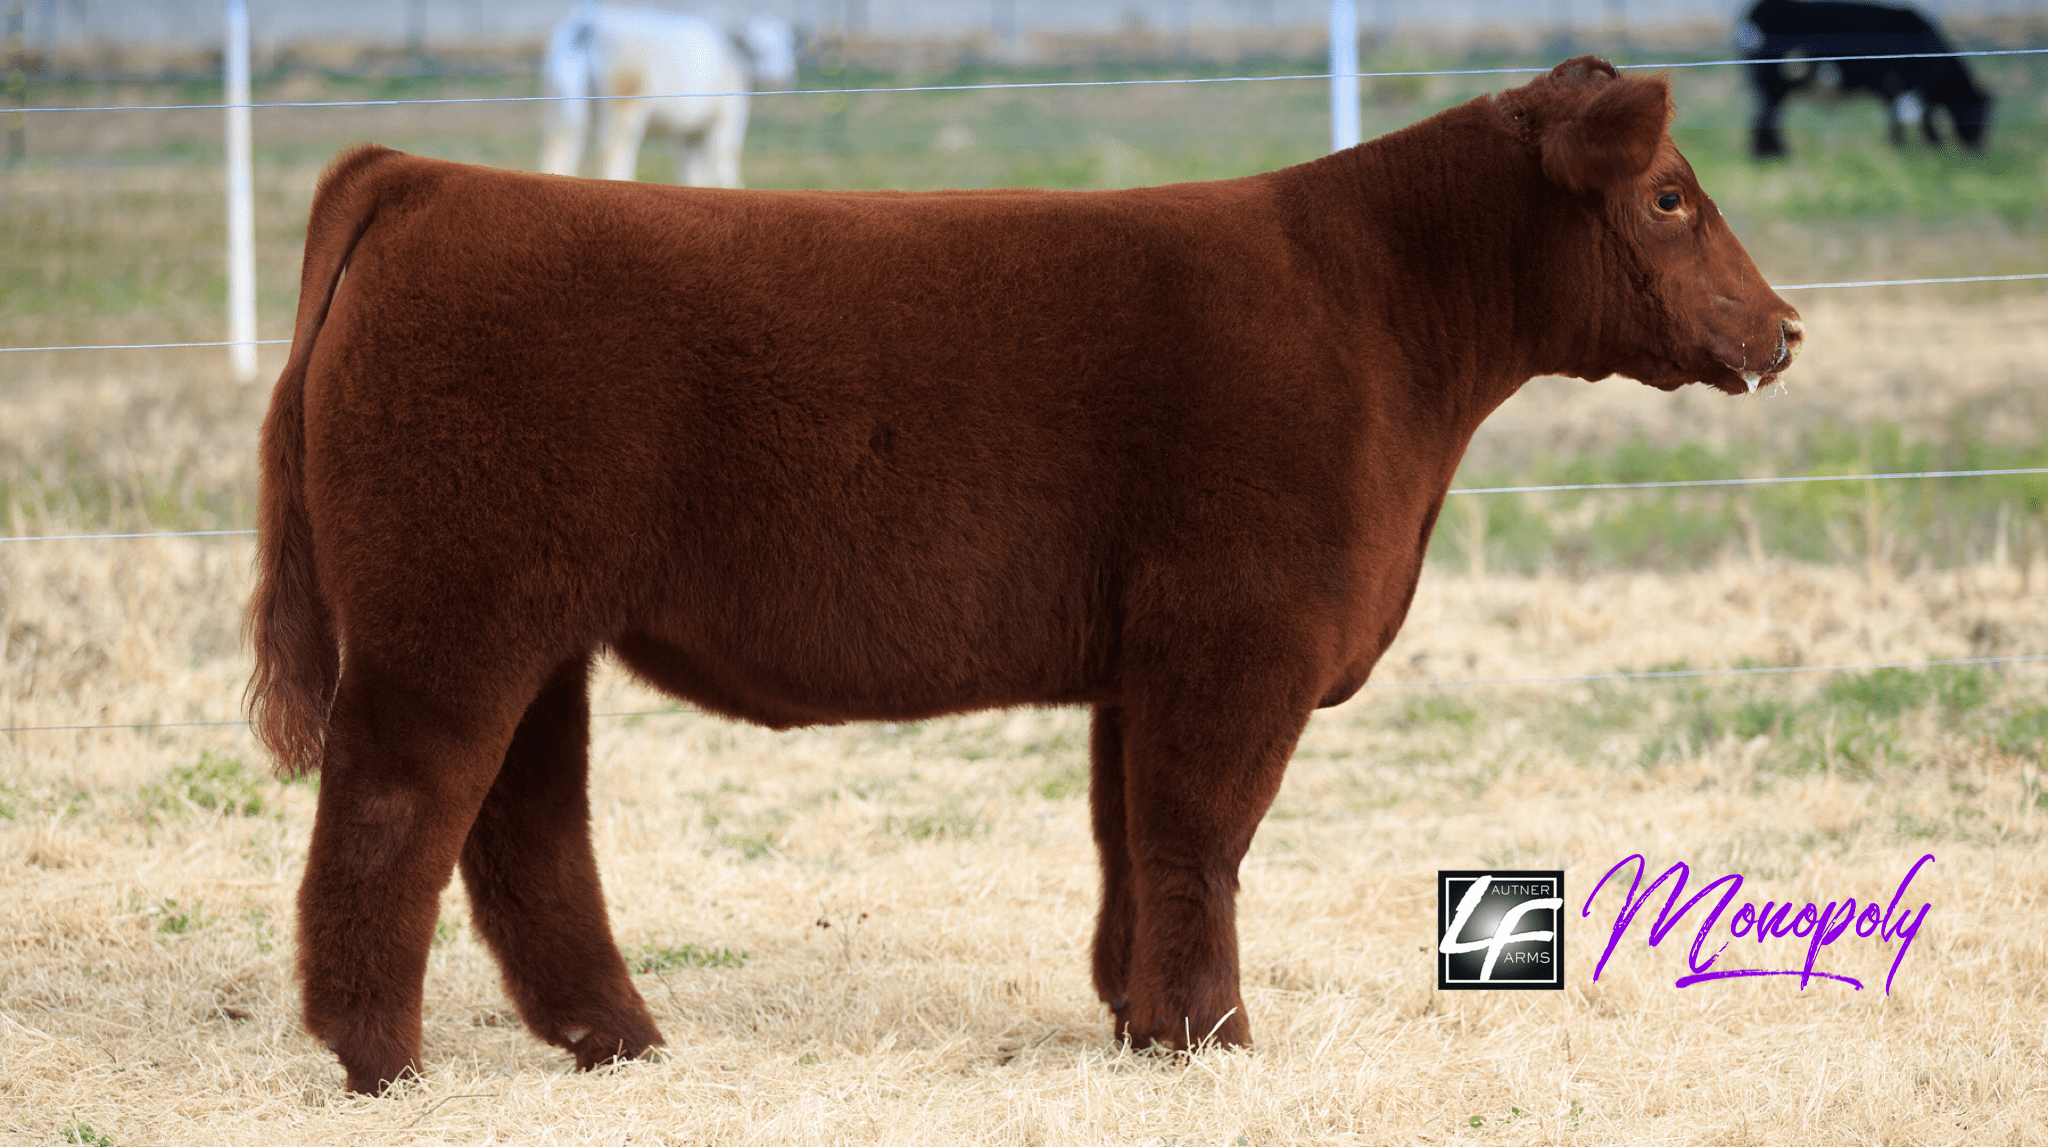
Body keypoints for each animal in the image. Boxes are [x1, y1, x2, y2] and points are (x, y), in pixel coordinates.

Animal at [248, 57, 1802, 1094]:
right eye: (1671, 196)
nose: (1784, 327)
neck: (1380, 316)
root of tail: (423, 177)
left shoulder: (1148, 654)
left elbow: (1133, 836)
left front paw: (1139, 1023)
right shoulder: (1241, 632)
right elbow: (1201, 836)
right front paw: (1214, 1037)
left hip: (536, 626)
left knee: (522, 822)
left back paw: (616, 1040)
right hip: (449, 617)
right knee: (396, 806)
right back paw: (381, 1058)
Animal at [539, 2, 799, 187]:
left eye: (787, 45)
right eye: (757, 47)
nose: (781, 76)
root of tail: (589, 22)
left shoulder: (689, 132)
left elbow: (693, 175)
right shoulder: (728, 115)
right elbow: (724, 167)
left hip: (561, 109)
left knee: (559, 151)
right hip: (623, 108)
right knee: (613, 156)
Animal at [1739, 0, 1992, 159]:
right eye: (1978, 113)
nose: (1980, 150)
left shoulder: (1897, 90)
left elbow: (1900, 118)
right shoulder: (1905, 86)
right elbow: (1919, 120)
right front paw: (1928, 148)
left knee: (1768, 114)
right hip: (1772, 82)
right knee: (1766, 114)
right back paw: (1771, 154)